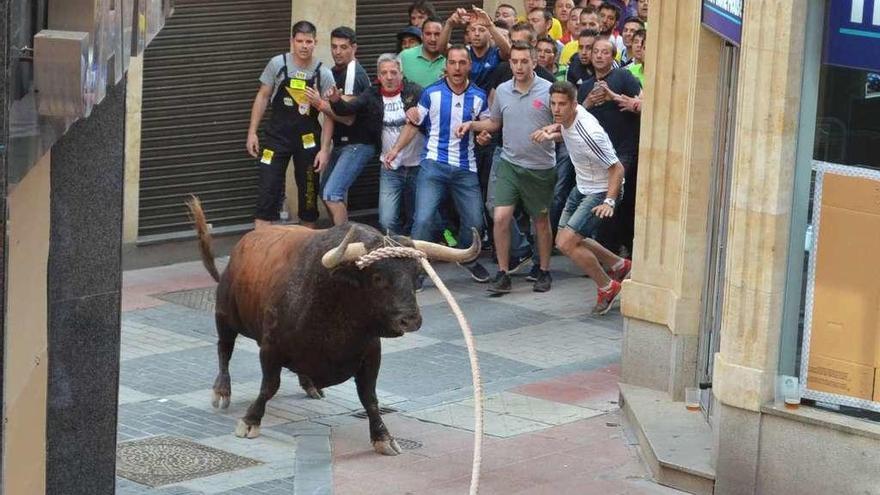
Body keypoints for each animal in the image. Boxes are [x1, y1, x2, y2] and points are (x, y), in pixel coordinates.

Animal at [184, 200, 474, 456]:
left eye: (418, 276)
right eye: (378, 277)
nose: (411, 320)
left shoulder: (371, 353)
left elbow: (369, 397)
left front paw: (383, 437)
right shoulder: (270, 348)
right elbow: (269, 386)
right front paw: (250, 421)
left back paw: (310, 384)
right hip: (224, 316)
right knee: (224, 349)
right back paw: (222, 390)